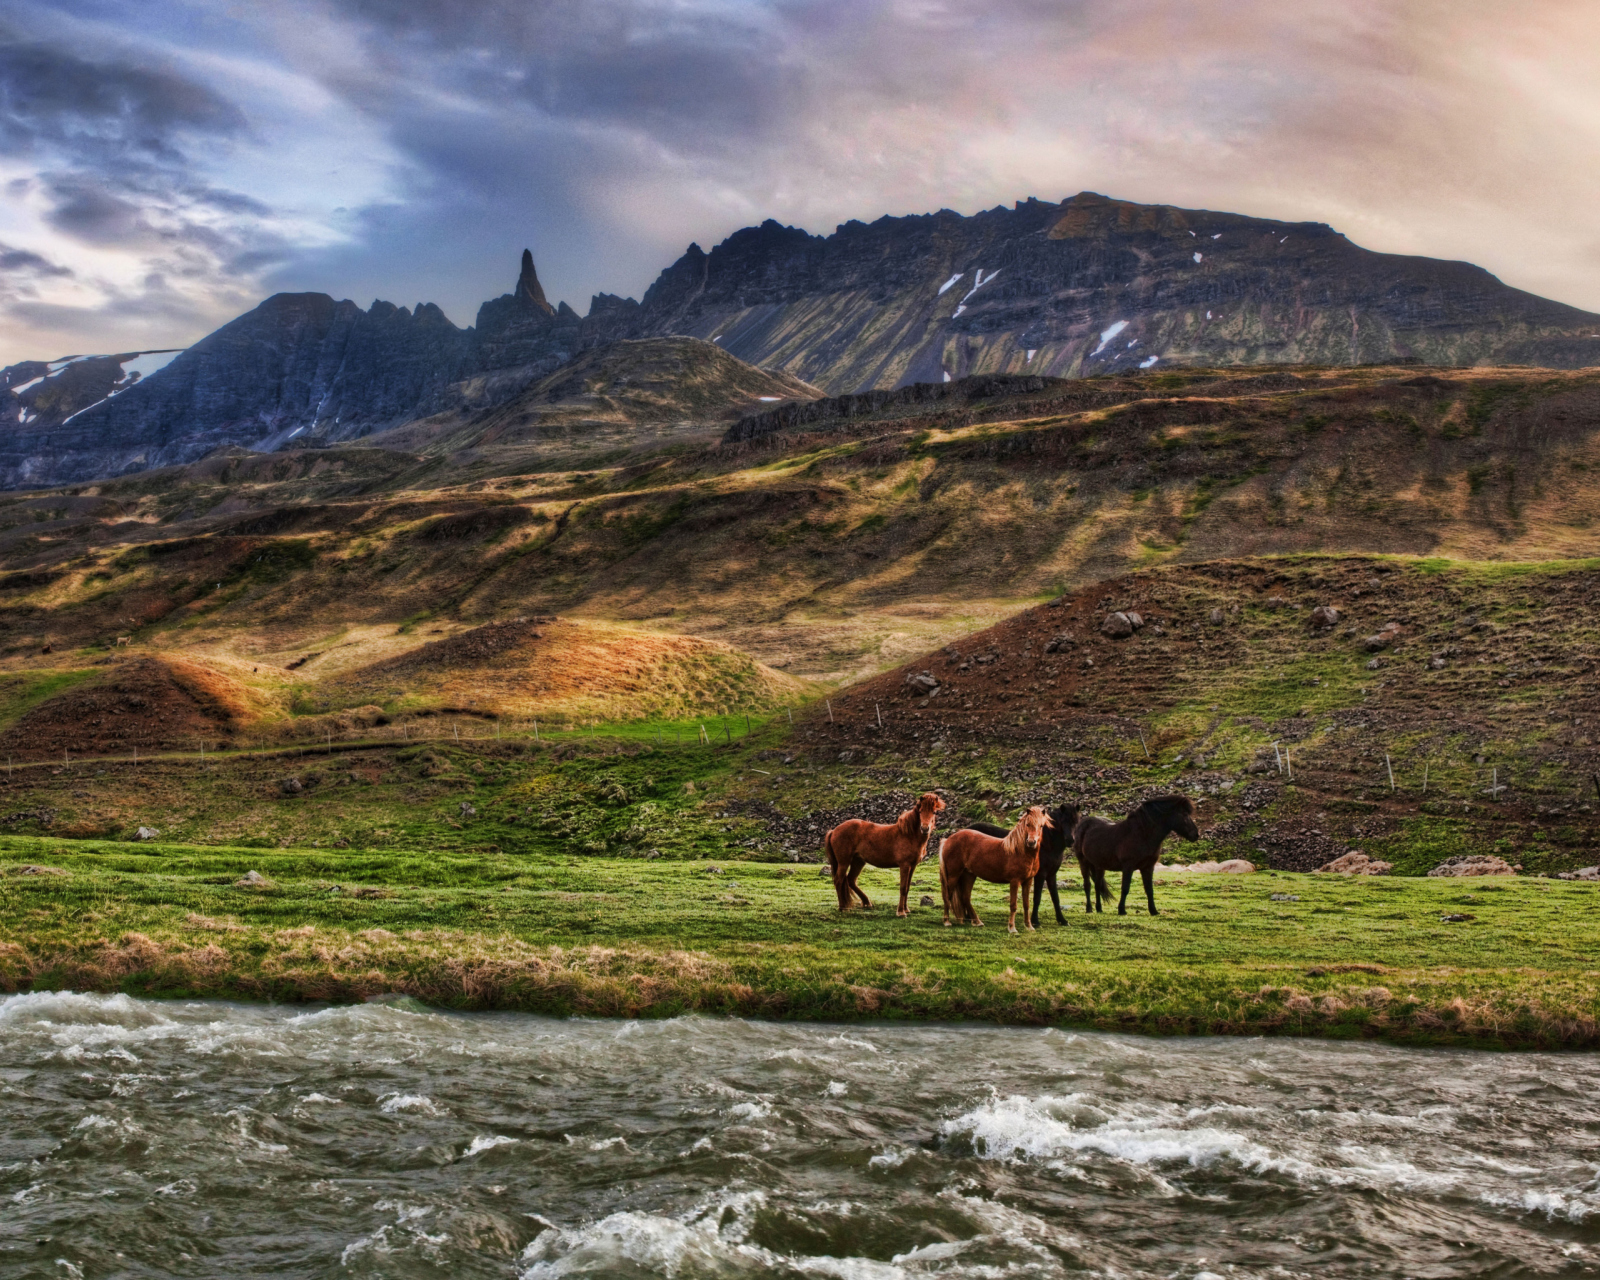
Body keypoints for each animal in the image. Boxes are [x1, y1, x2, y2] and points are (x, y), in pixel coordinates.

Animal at [825, 790, 947, 921]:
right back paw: (843, 907)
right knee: (839, 880)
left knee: (851, 880)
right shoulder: (904, 865)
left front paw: (906, 909)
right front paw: (901, 912)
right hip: (844, 862)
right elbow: (903, 888)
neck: (909, 835)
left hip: (858, 861)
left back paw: (866, 902)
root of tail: (834, 830)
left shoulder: (912, 866)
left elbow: (907, 888)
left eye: (934, 812)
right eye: (920, 811)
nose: (924, 829)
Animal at [1075, 793, 1203, 915]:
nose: (1196, 834)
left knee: (1097, 885)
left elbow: (1149, 889)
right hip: (1083, 862)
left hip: (1099, 865)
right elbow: (1125, 888)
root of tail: (1084, 823)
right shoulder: (1128, 867)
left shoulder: (1148, 867)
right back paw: (1089, 909)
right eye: (1184, 814)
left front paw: (1153, 911)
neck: (1142, 834)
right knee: (1087, 885)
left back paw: (1099, 909)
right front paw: (1121, 910)